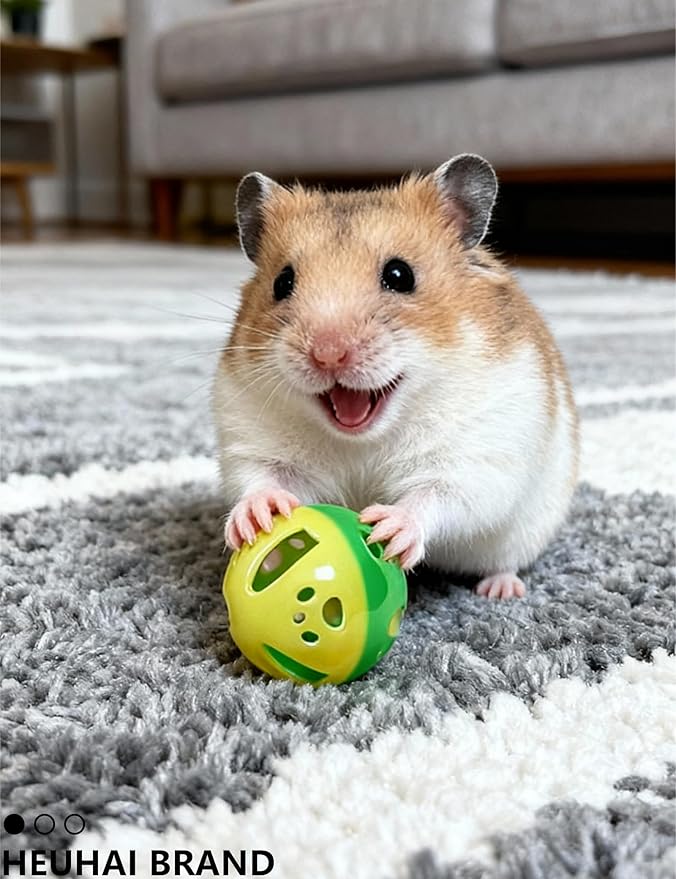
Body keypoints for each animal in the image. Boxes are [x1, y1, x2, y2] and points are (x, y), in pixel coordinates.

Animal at [212, 154, 578, 599]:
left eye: (400, 275)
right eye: (282, 283)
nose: (328, 354)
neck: (362, 441)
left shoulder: (478, 458)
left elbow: (437, 495)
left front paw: (387, 526)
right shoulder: (251, 439)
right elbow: (261, 478)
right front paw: (258, 518)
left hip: (523, 531)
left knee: (504, 561)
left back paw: (500, 590)